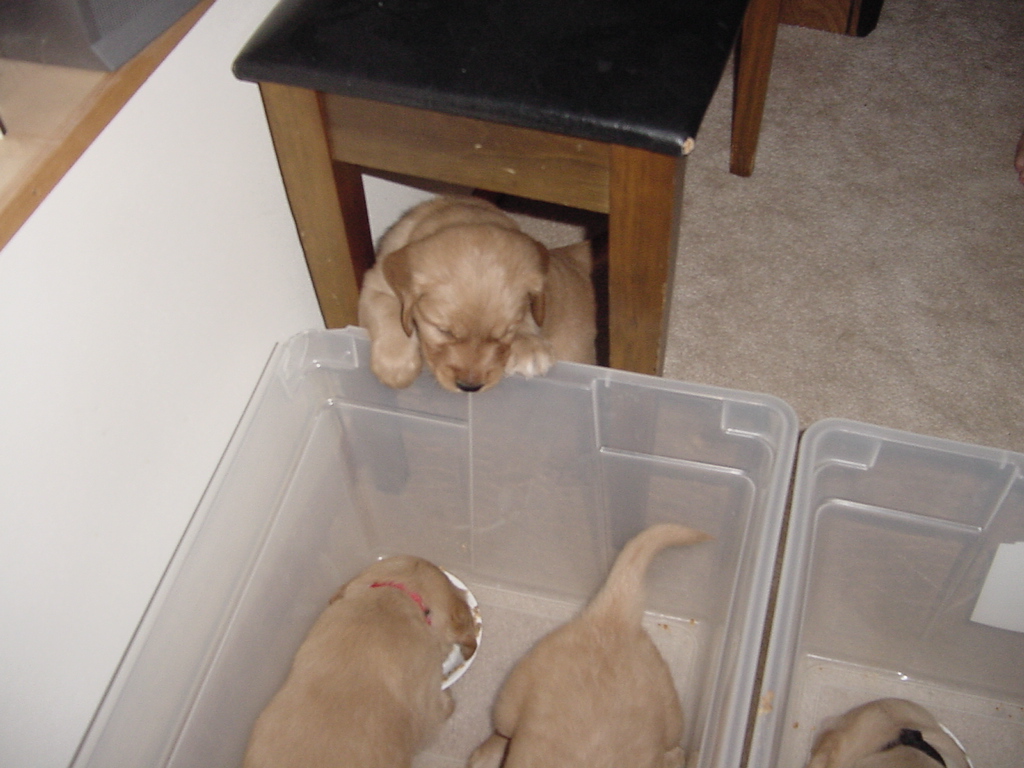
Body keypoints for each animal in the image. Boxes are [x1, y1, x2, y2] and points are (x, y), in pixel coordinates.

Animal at [360, 195, 598, 393]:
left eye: (505, 333)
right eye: (444, 331)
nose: (469, 387)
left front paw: (527, 344)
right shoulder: (375, 283)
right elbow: (388, 311)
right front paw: (395, 366)